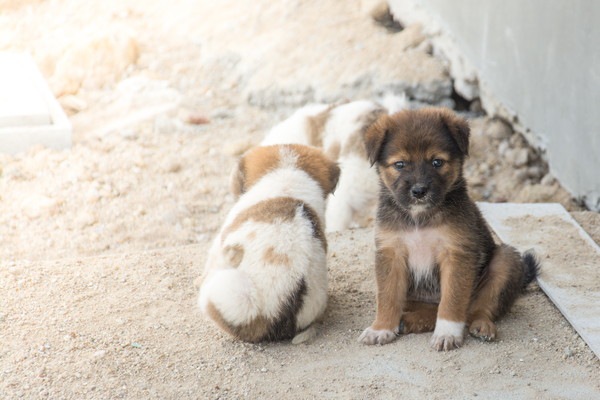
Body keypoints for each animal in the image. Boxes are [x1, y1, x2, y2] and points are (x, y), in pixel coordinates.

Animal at [358, 108, 540, 350]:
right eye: (400, 164)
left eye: (437, 162)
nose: (419, 191)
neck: (420, 217)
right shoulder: (390, 253)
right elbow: (387, 296)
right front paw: (382, 328)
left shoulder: (456, 253)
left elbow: (452, 299)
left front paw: (447, 333)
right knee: (430, 308)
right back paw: (409, 321)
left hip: (505, 260)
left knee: (477, 309)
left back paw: (482, 325)